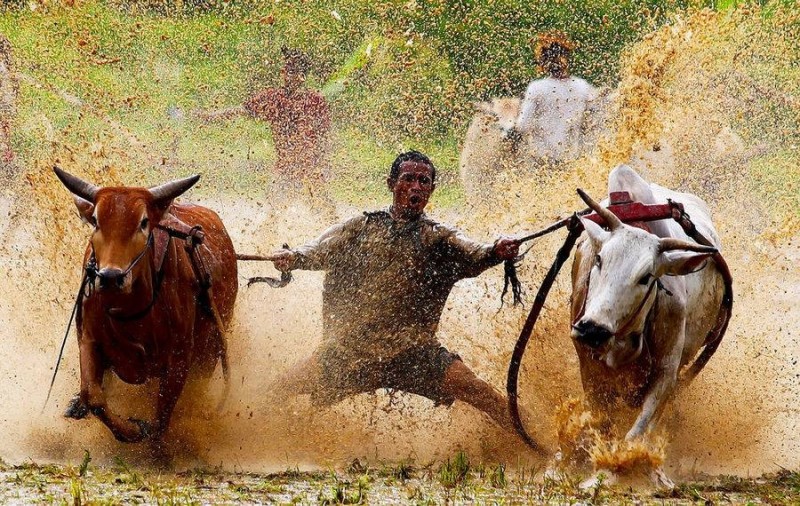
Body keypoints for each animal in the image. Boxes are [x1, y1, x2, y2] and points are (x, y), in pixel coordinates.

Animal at [54, 167, 238, 442]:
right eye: (96, 220)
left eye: (143, 222)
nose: (110, 276)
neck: (128, 312)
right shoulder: (88, 340)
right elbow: (93, 396)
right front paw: (129, 431)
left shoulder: (179, 360)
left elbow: (162, 418)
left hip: (209, 354)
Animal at [568, 163, 724, 446]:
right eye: (599, 259)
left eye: (646, 277)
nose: (592, 329)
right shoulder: (589, 370)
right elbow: (602, 423)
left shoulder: (667, 374)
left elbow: (637, 431)